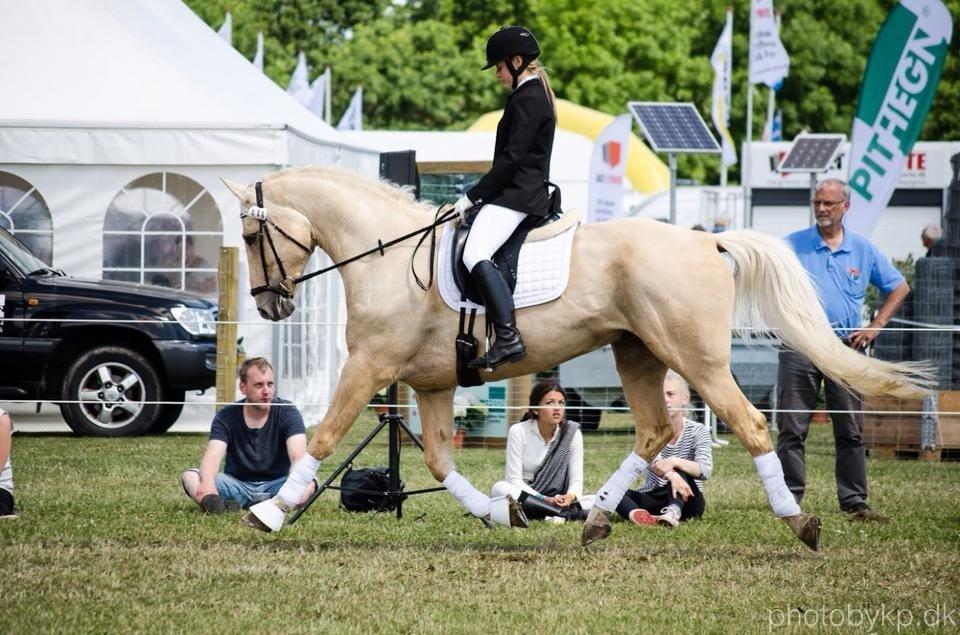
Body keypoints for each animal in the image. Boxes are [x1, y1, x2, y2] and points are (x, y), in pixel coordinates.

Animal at [223, 168, 928, 552]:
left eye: (253, 234)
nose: (269, 305)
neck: (389, 256)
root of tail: (710, 241)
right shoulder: (431, 383)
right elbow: (441, 462)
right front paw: (502, 512)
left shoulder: (369, 367)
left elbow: (324, 436)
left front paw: (268, 512)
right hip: (636, 353)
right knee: (655, 431)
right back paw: (593, 518)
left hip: (693, 359)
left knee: (749, 425)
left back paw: (798, 522)